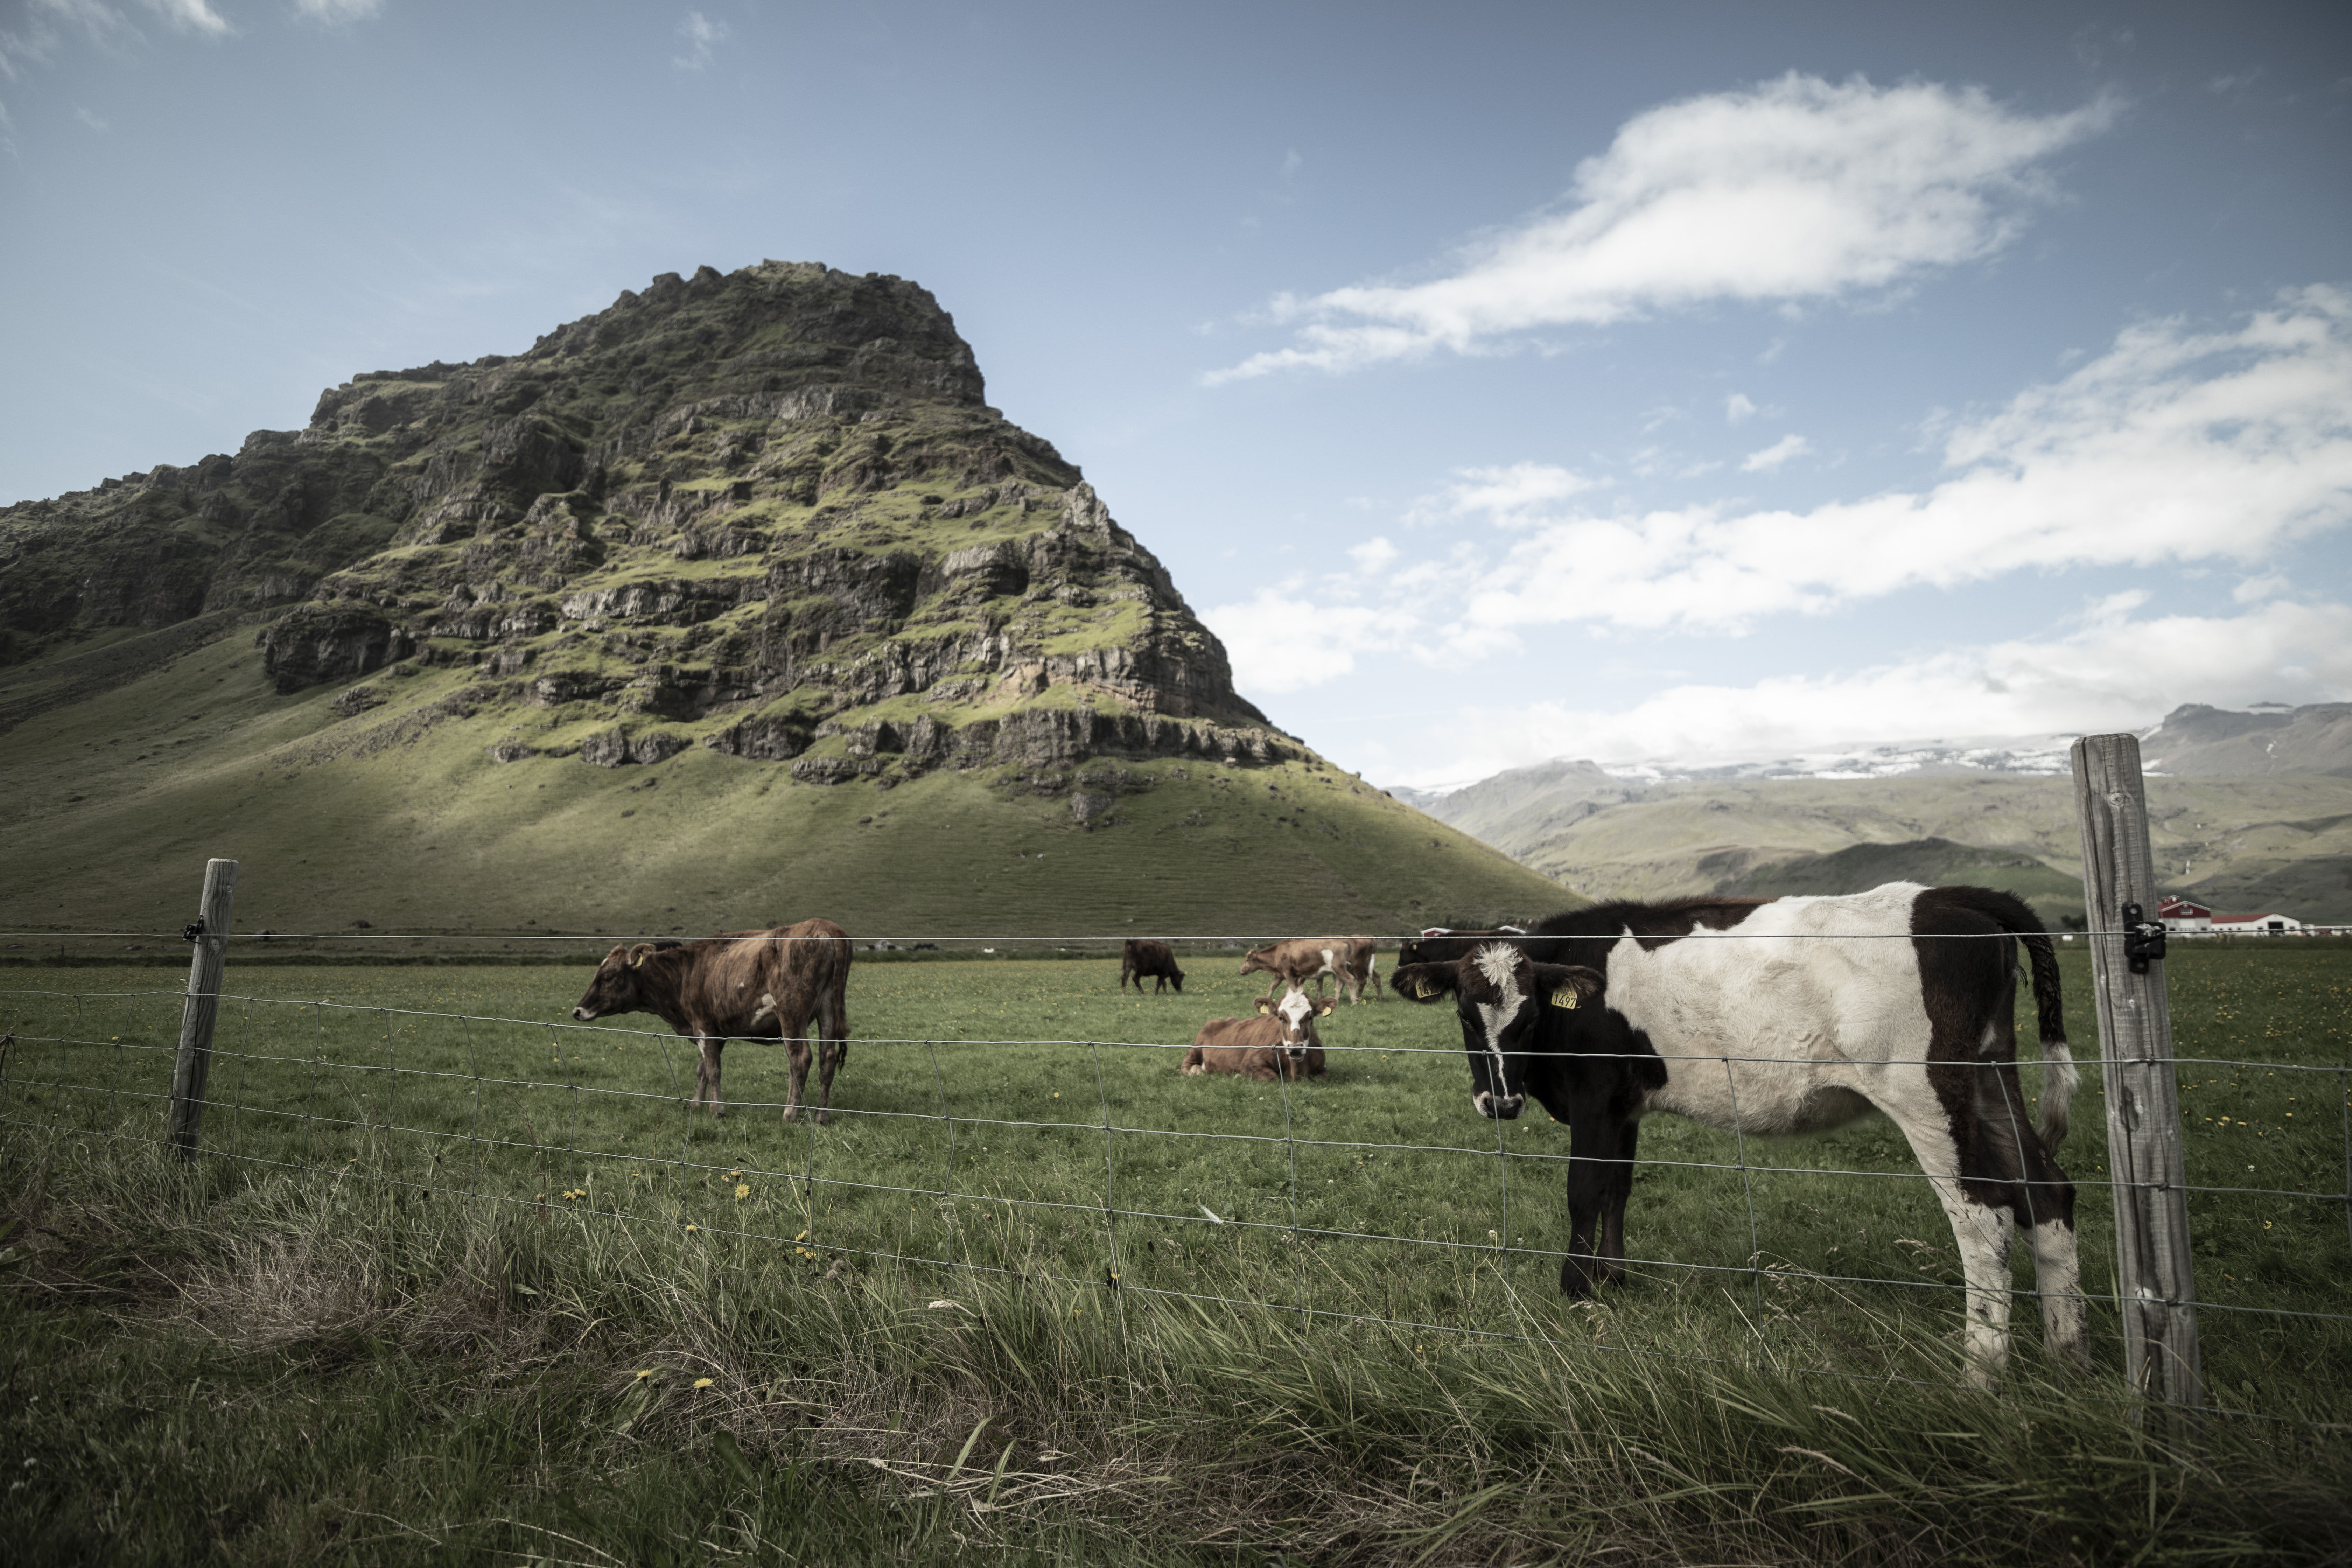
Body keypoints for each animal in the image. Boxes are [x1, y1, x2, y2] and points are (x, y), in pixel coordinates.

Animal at [570, 918, 853, 1125]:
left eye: (608, 976)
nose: (578, 1010)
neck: (686, 972)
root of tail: (826, 929)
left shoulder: (703, 1025)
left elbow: (714, 1069)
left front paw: (717, 1110)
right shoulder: (719, 1031)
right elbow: (703, 1068)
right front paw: (697, 1103)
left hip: (792, 1014)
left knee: (800, 1059)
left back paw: (790, 1113)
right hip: (828, 1009)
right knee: (827, 1058)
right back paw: (822, 1115)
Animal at [1120, 939, 1186, 994]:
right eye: (1181, 979)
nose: (1180, 990)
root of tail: (1131, 942)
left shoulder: (1161, 974)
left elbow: (1164, 984)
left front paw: (1165, 993)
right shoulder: (1163, 974)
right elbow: (1159, 983)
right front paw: (1156, 993)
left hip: (1128, 966)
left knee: (1125, 978)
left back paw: (1124, 994)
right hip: (1141, 969)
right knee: (1135, 978)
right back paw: (1142, 992)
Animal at [1182, 987, 1334, 1081]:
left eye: (1310, 1017)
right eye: (1281, 1017)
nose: (1295, 1049)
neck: (1296, 1072)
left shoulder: (1323, 1068)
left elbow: (1323, 1075)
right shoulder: (1249, 1064)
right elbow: (1273, 1077)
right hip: (1195, 1048)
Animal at [1239, 935, 1384, 1004]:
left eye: (1247, 960)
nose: (1241, 971)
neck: (1278, 952)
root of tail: (1345, 942)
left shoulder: (1289, 973)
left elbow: (1294, 988)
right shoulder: (1280, 975)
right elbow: (1273, 987)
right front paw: (1268, 999)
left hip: (1344, 968)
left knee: (1352, 980)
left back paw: (1355, 1000)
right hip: (1340, 971)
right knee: (1342, 984)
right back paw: (1337, 1001)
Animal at [1387, 884, 2086, 1388]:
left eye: (1530, 1016)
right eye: (1464, 1015)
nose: (1500, 1102)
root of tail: (1952, 896)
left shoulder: (1594, 1097)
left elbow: (1584, 1191)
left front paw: (1577, 1293)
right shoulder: (1624, 1107)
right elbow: (1618, 1190)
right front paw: (1613, 1280)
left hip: (1927, 1091)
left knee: (1985, 1216)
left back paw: (1980, 1378)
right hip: (1991, 1076)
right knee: (2047, 1193)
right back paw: (2066, 1355)